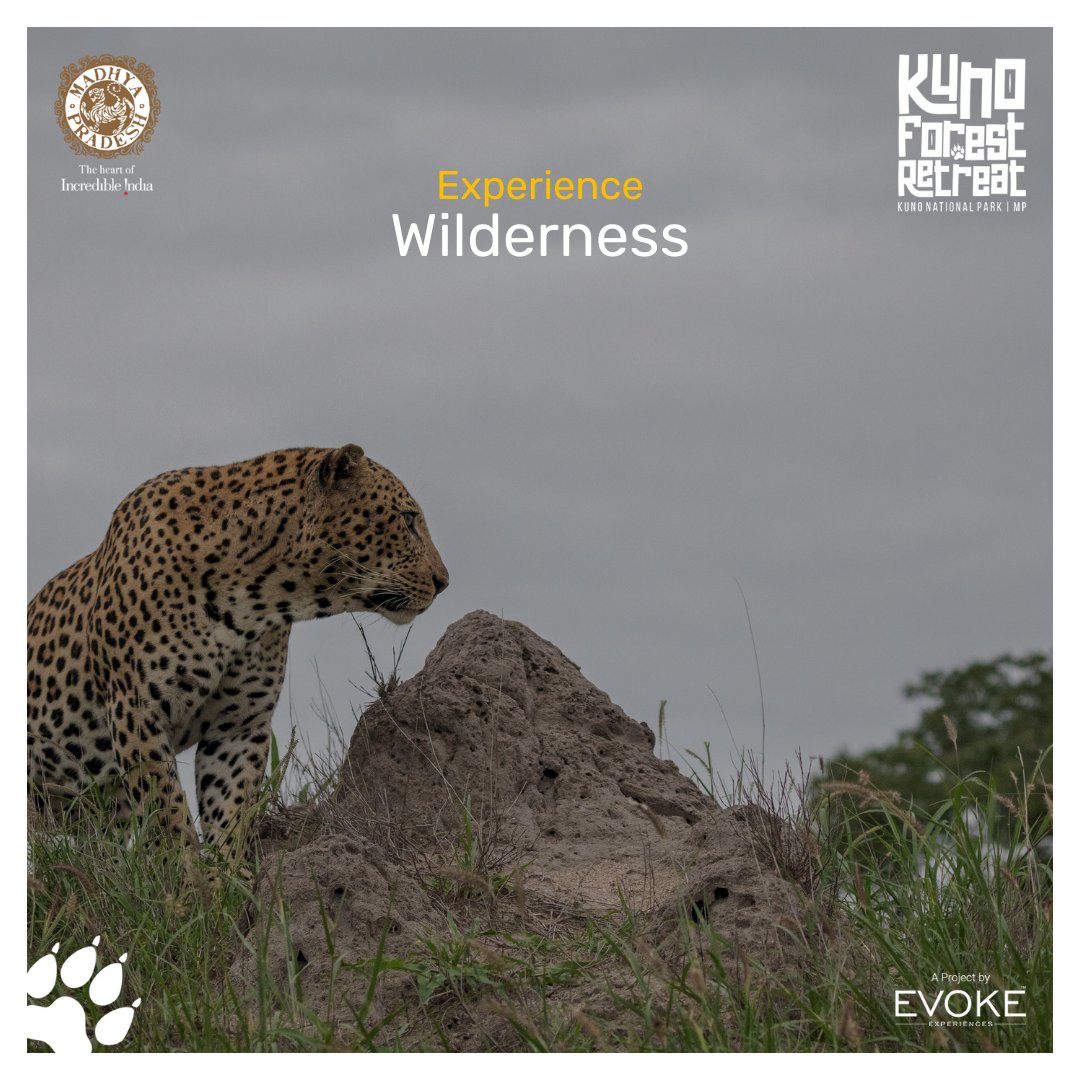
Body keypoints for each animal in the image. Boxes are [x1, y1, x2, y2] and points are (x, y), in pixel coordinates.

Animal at [27, 443, 448, 863]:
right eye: (408, 519)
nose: (444, 581)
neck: (254, 597)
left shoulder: (240, 724)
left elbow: (231, 809)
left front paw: (228, 874)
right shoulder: (137, 711)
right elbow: (167, 809)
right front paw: (187, 870)